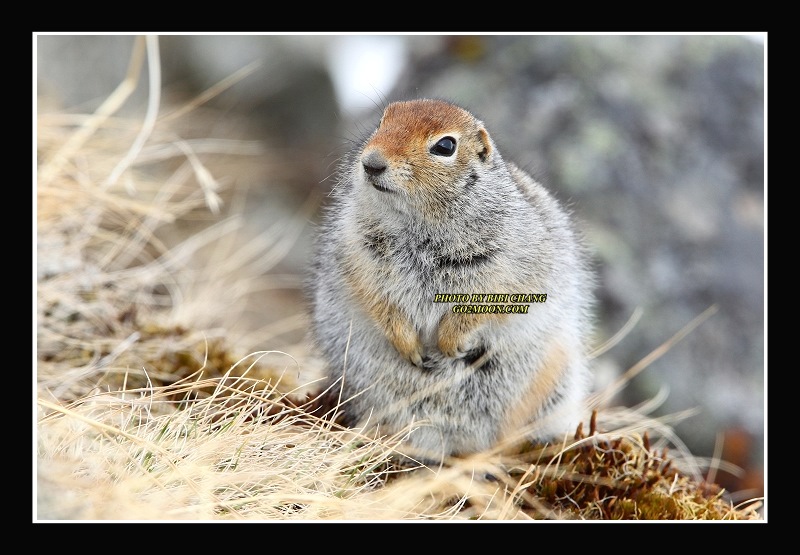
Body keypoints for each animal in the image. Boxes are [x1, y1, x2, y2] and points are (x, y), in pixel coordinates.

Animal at [309, 98, 594, 463]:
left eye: (445, 146)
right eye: (383, 121)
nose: (371, 163)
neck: (421, 226)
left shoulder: (507, 271)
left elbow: (486, 306)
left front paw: (450, 343)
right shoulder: (357, 256)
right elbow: (378, 301)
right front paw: (410, 346)